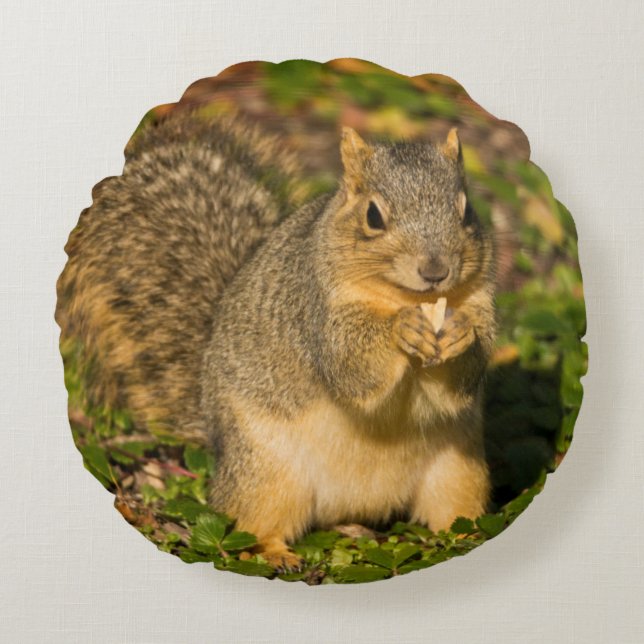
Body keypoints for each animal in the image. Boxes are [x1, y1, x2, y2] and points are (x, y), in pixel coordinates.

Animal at [57, 110, 496, 572]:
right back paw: (274, 553)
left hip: (459, 470)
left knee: (451, 511)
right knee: (251, 522)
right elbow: (351, 365)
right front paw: (401, 330)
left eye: (466, 211)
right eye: (373, 216)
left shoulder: (480, 301)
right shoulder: (315, 310)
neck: (406, 297)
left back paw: (462, 536)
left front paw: (462, 336)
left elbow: (464, 376)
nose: (435, 270)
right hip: (266, 472)